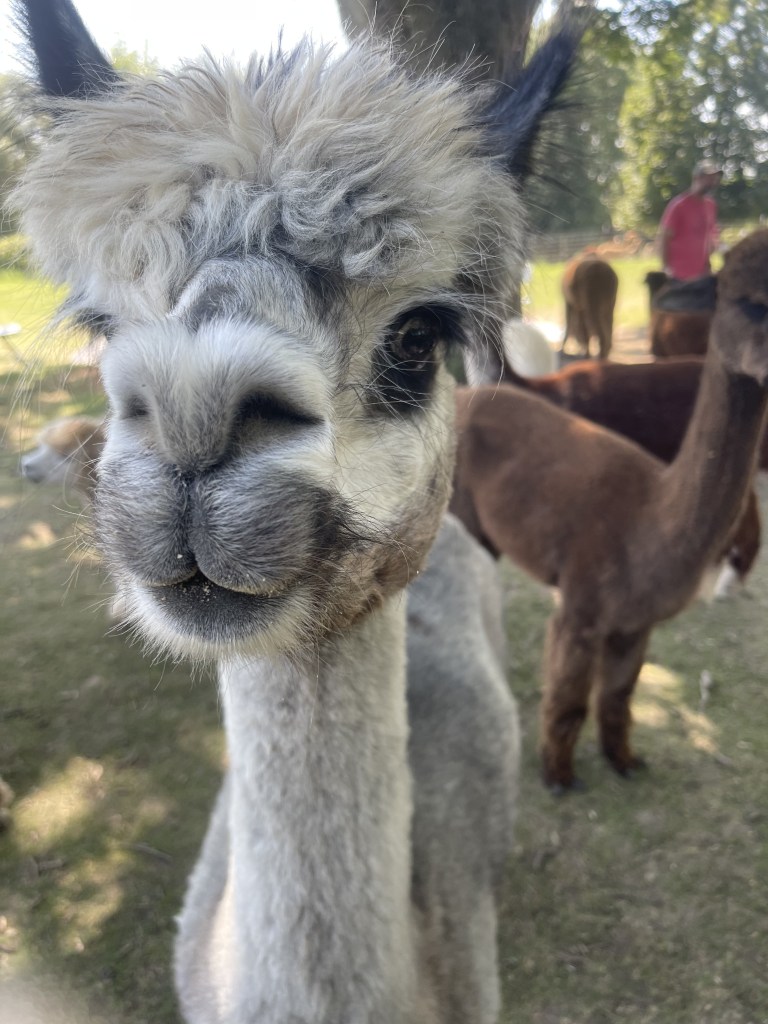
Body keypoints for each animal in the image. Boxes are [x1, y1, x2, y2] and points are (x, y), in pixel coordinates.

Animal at [451, 228, 768, 790]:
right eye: (751, 302)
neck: (651, 519)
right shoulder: (581, 610)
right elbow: (568, 701)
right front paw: (558, 775)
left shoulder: (634, 623)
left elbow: (618, 697)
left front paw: (623, 760)